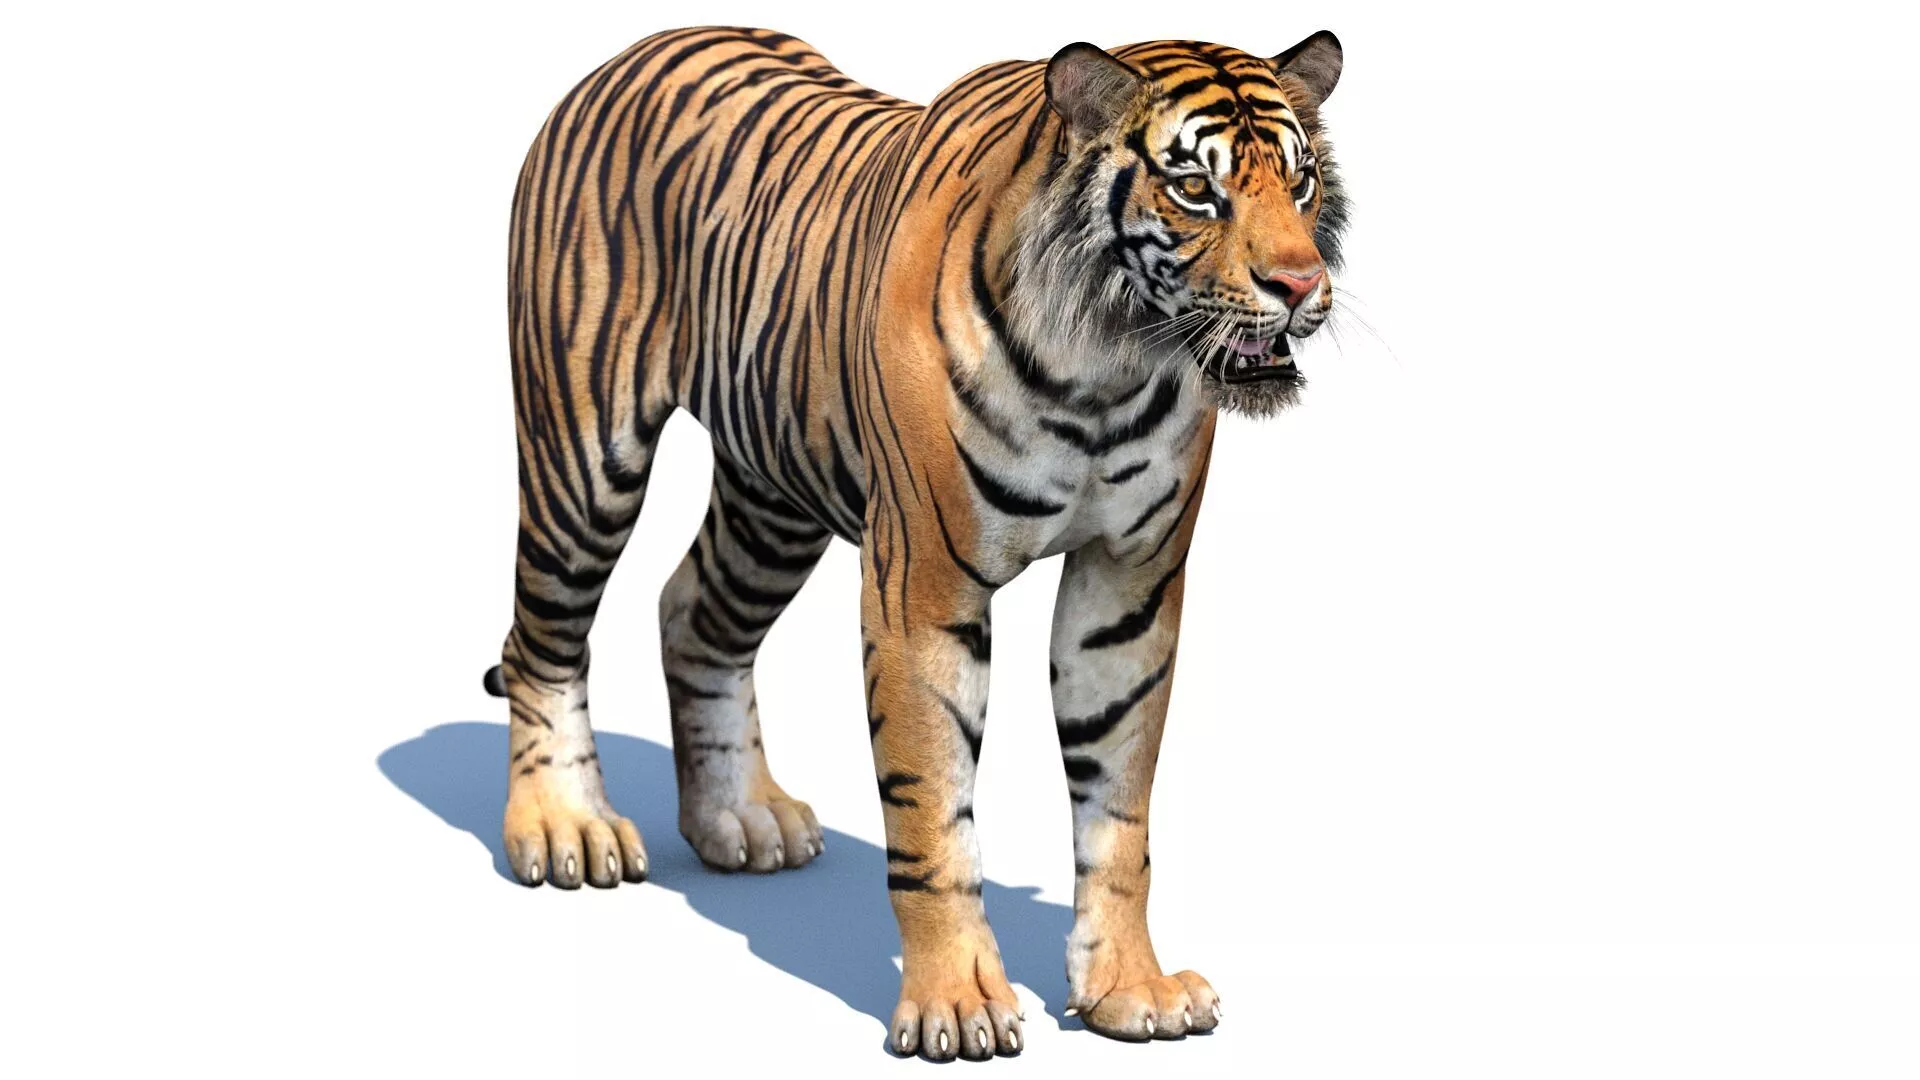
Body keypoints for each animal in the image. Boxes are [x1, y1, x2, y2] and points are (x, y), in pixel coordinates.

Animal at [479, 26, 1349, 1060]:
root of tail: (635, 48)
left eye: (1299, 182)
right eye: (1193, 188)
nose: (1301, 285)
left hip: (774, 492)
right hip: (584, 452)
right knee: (542, 637)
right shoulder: (925, 589)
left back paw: (741, 816)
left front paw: (1129, 989)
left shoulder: (1126, 588)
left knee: (691, 613)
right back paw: (565, 827)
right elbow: (932, 811)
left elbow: (1118, 812)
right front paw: (957, 1005)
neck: (1106, 362)